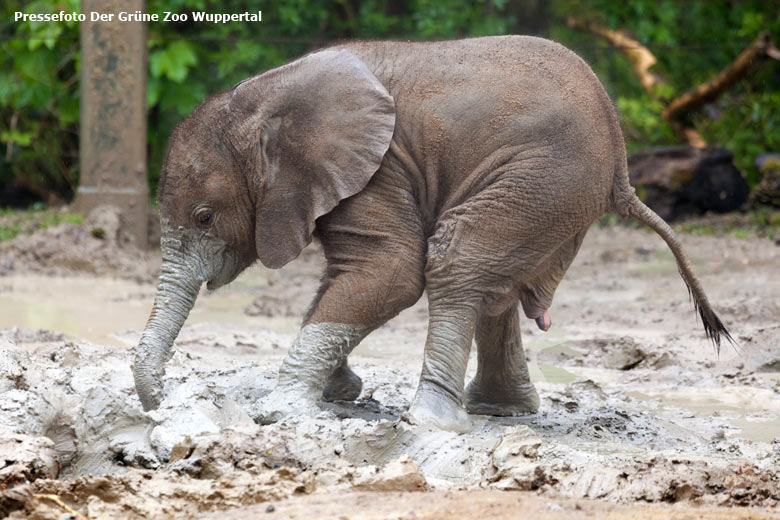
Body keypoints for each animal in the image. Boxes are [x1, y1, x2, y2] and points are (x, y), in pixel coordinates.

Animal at [131, 33, 736, 430]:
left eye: (205, 217)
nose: (160, 405)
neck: (261, 99)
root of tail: (622, 168)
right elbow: (347, 275)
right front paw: (340, 392)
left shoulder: (380, 168)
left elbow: (391, 272)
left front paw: (282, 411)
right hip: (553, 191)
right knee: (494, 286)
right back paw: (497, 409)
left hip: (545, 174)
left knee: (456, 261)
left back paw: (428, 421)